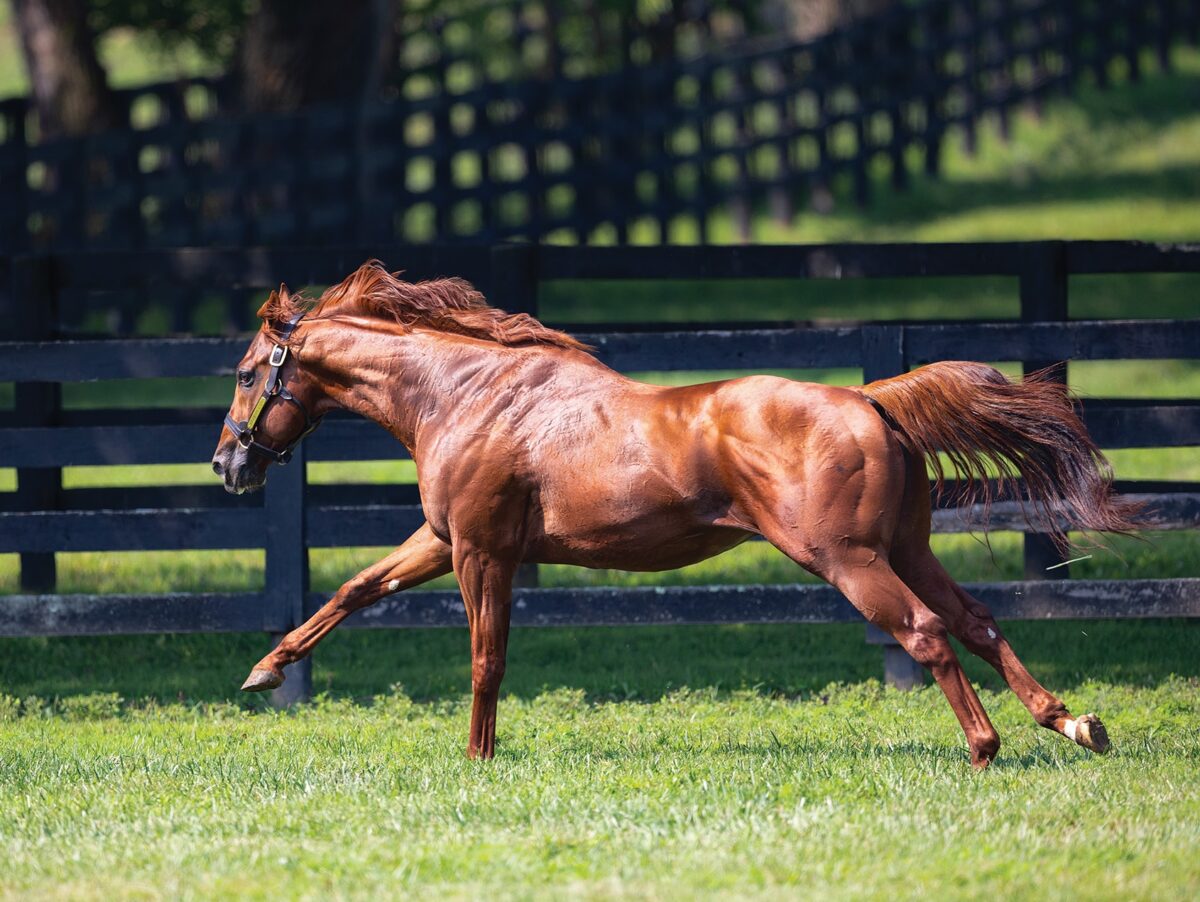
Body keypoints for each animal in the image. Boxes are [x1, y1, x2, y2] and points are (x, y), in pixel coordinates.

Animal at [213, 260, 1142, 767]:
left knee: (924, 632)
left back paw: (985, 749)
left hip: (847, 559)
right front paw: (264, 671)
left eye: (251, 370)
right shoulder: (442, 541)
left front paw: (477, 758)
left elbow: (485, 660)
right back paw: (1073, 723)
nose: (227, 465)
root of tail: (869, 399)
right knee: (978, 621)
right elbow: (354, 591)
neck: (465, 392)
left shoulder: (481, 551)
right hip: (907, 548)